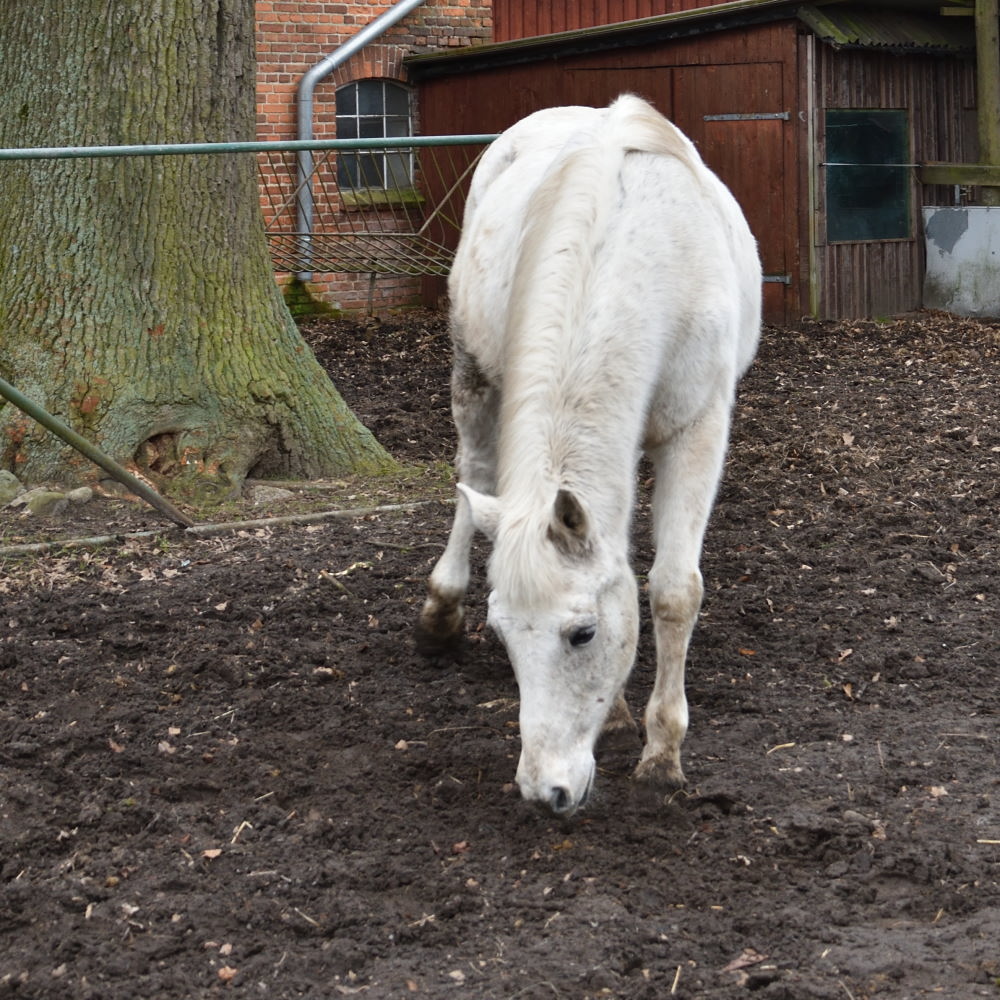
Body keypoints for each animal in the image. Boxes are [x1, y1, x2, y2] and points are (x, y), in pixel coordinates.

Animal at [417, 94, 762, 817]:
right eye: (502, 635)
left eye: (581, 634)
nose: (543, 789)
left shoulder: (696, 430)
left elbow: (672, 589)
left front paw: (662, 753)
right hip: (471, 371)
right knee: (474, 474)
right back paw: (440, 608)